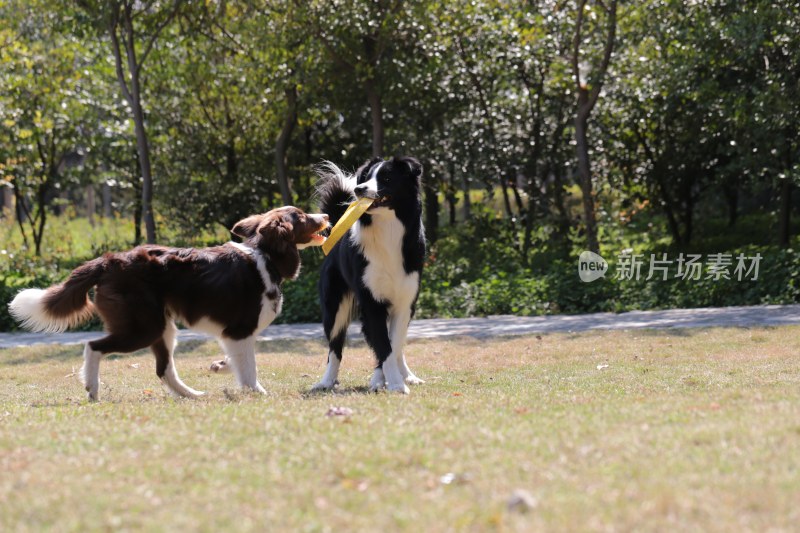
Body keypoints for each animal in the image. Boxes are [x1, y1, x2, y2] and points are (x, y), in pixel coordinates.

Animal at [7, 206, 326, 402]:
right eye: (301, 217)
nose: (324, 214)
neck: (265, 256)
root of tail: (109, 261)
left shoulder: (232, 335)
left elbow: (236, 362)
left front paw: (221, 366)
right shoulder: (239, 330)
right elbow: (249, 369)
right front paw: (258, 393)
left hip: (163, 326)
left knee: (164, 369)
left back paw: (192, 395)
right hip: (144, 327)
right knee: (94, 345)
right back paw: (92, 388)